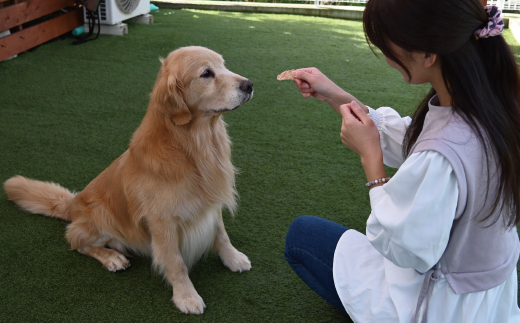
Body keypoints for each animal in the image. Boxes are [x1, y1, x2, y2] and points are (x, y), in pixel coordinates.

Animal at [2, 46, 254, 316]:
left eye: (224, 65)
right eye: (206, 73)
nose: (249, 85)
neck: (194, 145)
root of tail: (72, 203)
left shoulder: (210, 203)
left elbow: (221, 234)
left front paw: (233, 258)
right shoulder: (162, 222)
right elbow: (176, 263)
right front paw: (186, 296)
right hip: (101, 216)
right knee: (75, 240)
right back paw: (112, 257)